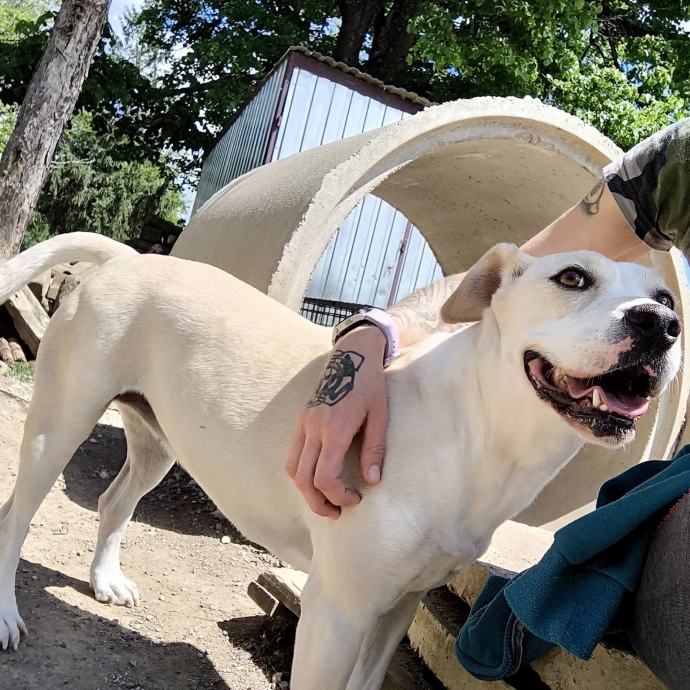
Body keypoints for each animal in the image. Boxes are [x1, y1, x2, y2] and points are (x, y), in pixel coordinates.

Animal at [0, 233, 681, 689]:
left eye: (665, 295)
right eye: (572, 278)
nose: (661, 323)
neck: (480, 432)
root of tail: (129, 257)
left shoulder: (398, 608)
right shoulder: (338, 612)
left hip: (156, 444)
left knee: (114, 500)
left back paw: (105, 581)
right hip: (58, 425)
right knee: (15, 516)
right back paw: (7, 618)